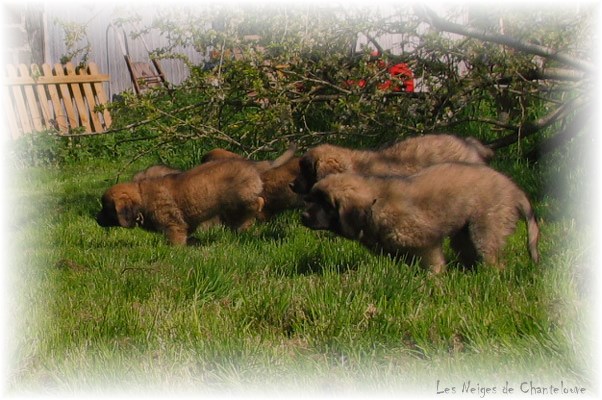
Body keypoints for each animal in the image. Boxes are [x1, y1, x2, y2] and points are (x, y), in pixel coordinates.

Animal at [97, 159, 264, 245]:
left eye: (106, 208)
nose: (96, 218)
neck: (141, 198)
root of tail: (252, 167)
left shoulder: (173, 225)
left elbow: (174, 239)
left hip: (238, 200)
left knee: (257, 202)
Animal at [300, 162, 540, 272]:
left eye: (326, 204)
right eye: (312, 199)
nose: (302, 215)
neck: (375, 206)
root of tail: (514, 190)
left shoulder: (426, 241)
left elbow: (434, 264)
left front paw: (434, 280)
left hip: (485, 228)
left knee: (494, 261)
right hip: (464, 233)